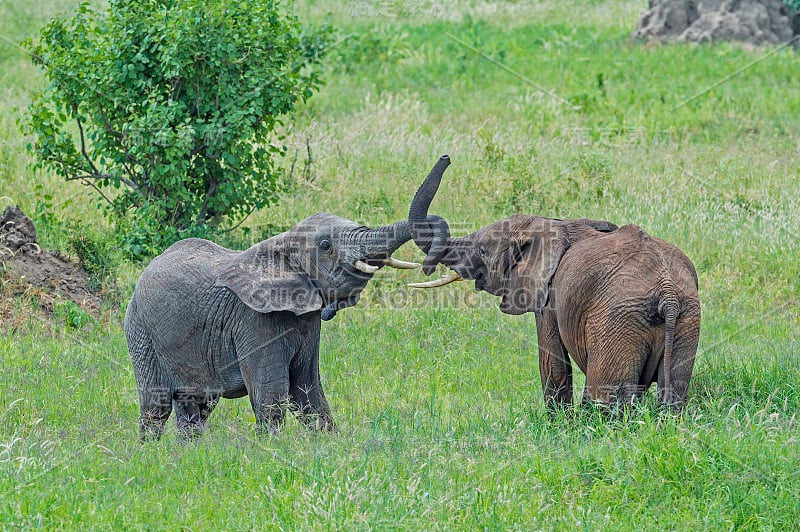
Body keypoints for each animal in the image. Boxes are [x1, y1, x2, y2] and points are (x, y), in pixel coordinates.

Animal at [125, 213, 422, 440]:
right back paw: (151, 455)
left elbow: (308, 390)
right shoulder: (253, 319)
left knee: (197, 406)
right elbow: (272, 394)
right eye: (325, 245)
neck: (283, 242)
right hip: (141, 332)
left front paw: (330, 445)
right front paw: (270, 452)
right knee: (156, 407)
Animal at [410, 156, 704, 410]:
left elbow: (553, 362)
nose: (447, 157)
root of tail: (667, 293)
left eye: (483, 251)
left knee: (607, 398)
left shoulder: (548, 296)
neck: (550, 224)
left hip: (619, 322)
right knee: (674, 392)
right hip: (686, 318)